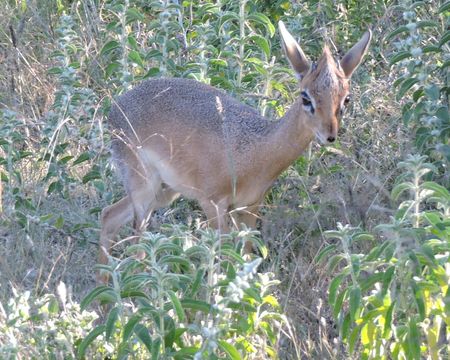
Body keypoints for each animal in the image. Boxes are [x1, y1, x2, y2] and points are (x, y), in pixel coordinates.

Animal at [99, 20, 372, 276]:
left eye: (346, 99)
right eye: (305, 97)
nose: (329, 135)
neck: (255, 150)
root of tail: (115, 108)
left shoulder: (249, 208)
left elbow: (245, 259)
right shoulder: (213, 204)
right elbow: (223, 262)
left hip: (164, 191)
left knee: (109, 216)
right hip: (144, 189)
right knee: (136, 247)